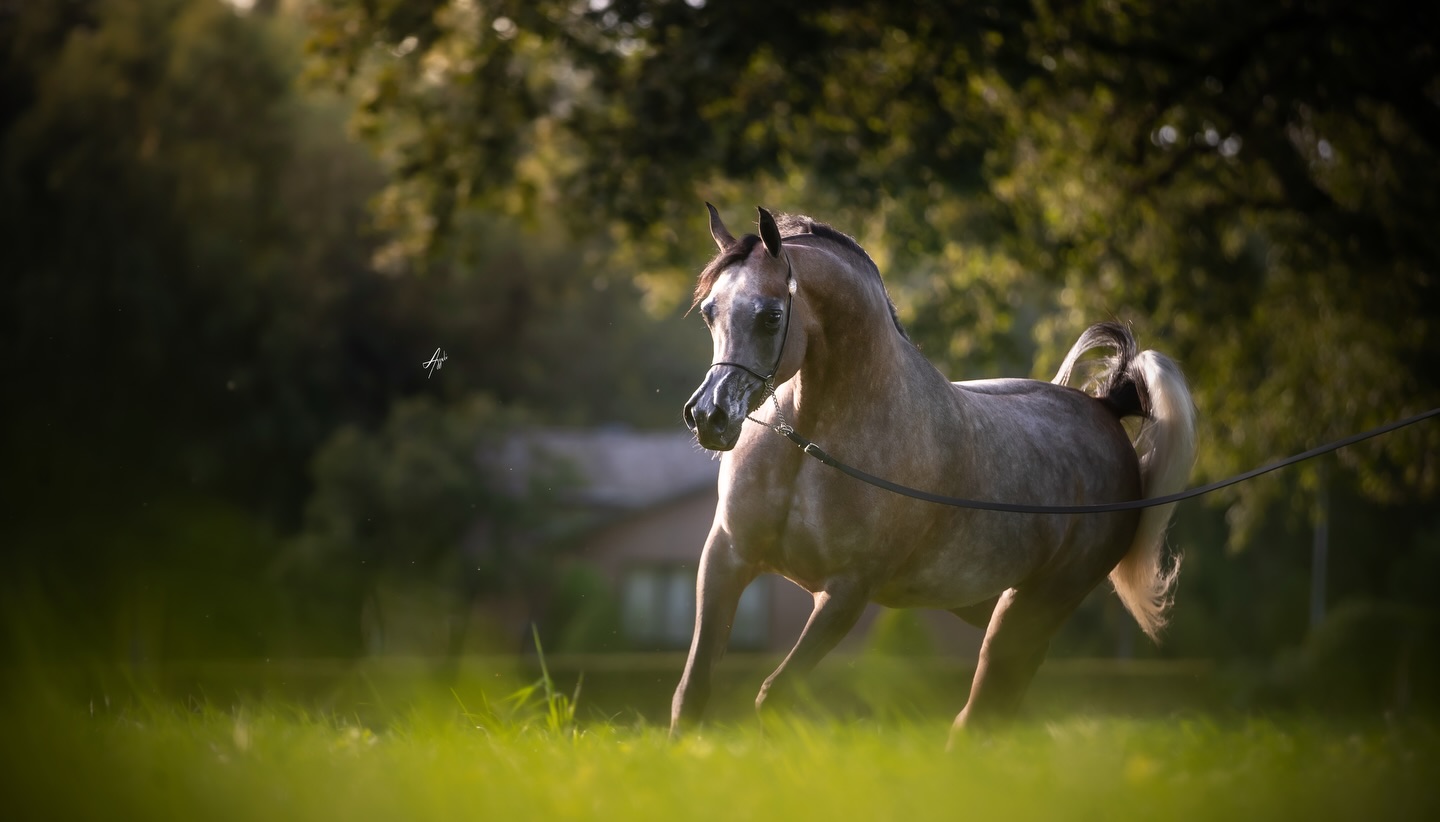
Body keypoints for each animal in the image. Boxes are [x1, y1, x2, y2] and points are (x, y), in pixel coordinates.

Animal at [674, 204, 1197, 740]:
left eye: (772, 315)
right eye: (709, 310)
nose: (710, 416)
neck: (811, 445)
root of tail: (1106, 409)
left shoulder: (847, 592)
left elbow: (772, 695)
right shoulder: (727, 556)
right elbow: (691, 692)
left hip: (1030, 608)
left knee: (985, 704)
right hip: (988, 607)